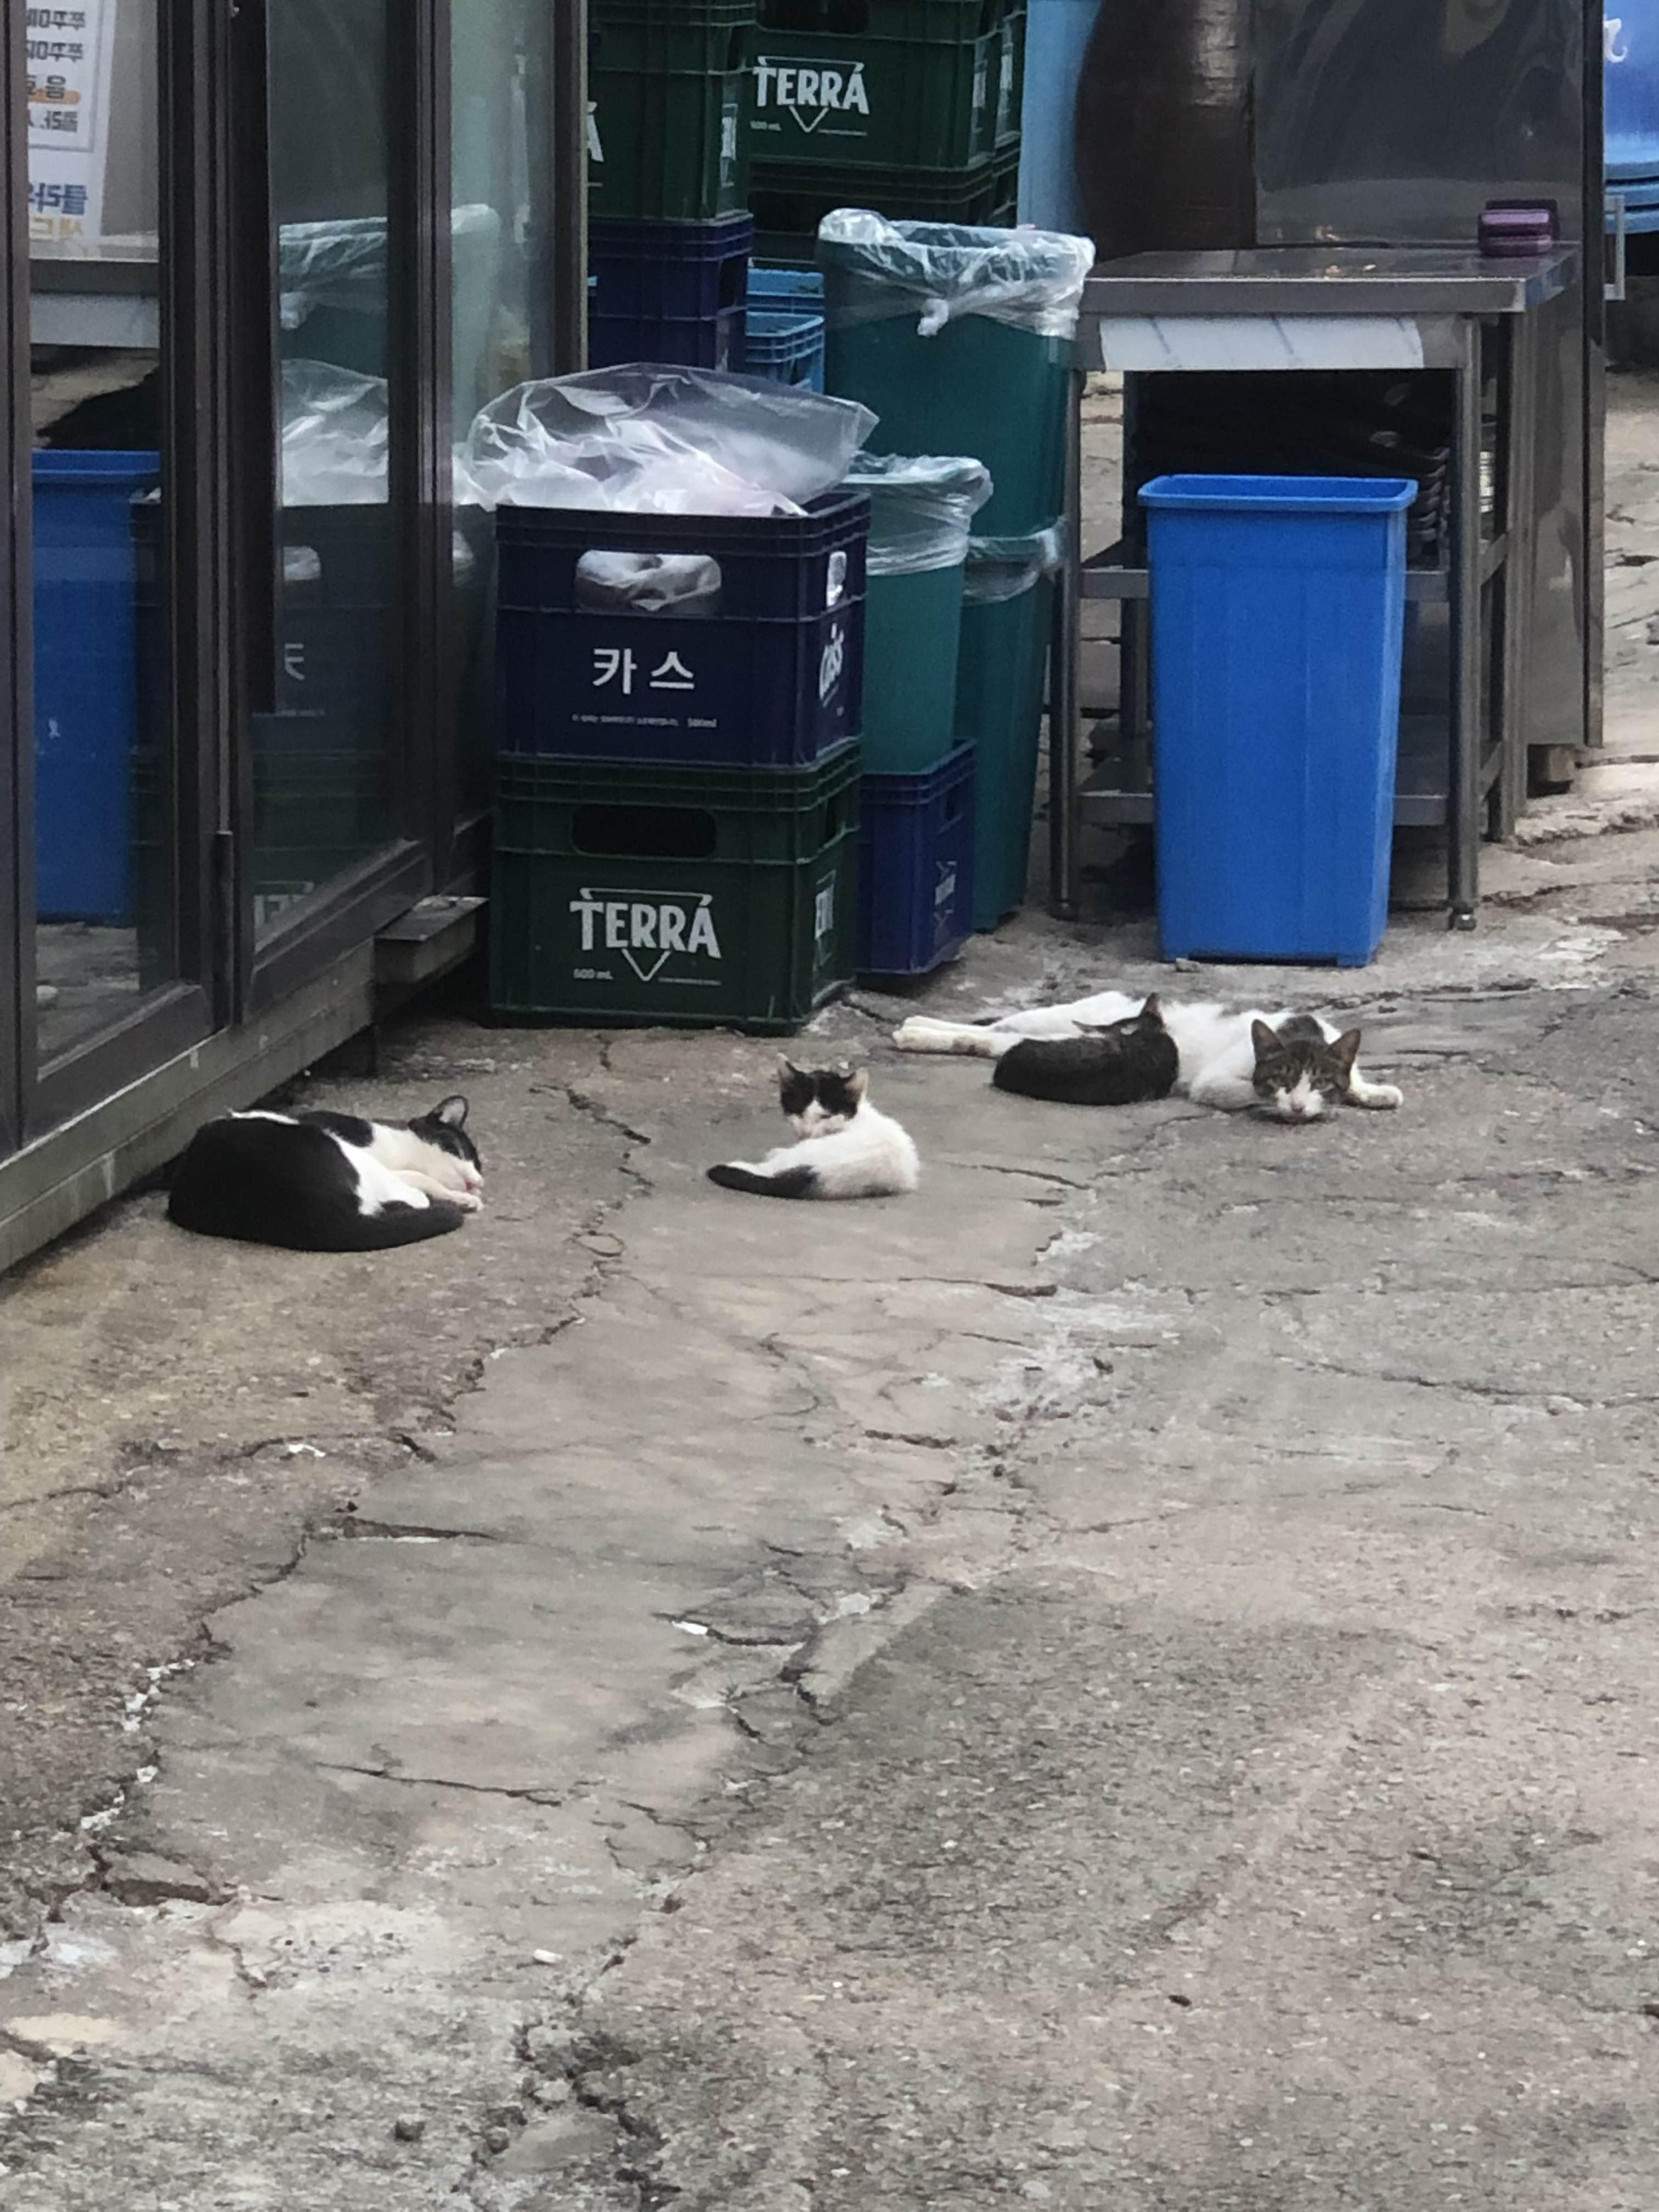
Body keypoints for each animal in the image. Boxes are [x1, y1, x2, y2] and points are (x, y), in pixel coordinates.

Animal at [167, 1095, 484, 1251]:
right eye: (460, 1151)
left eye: (479, 1167)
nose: (478, 1180)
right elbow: (422, 1182)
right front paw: (460, 1198)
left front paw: (466, 1198)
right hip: (334, 1145)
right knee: (415, 1198)